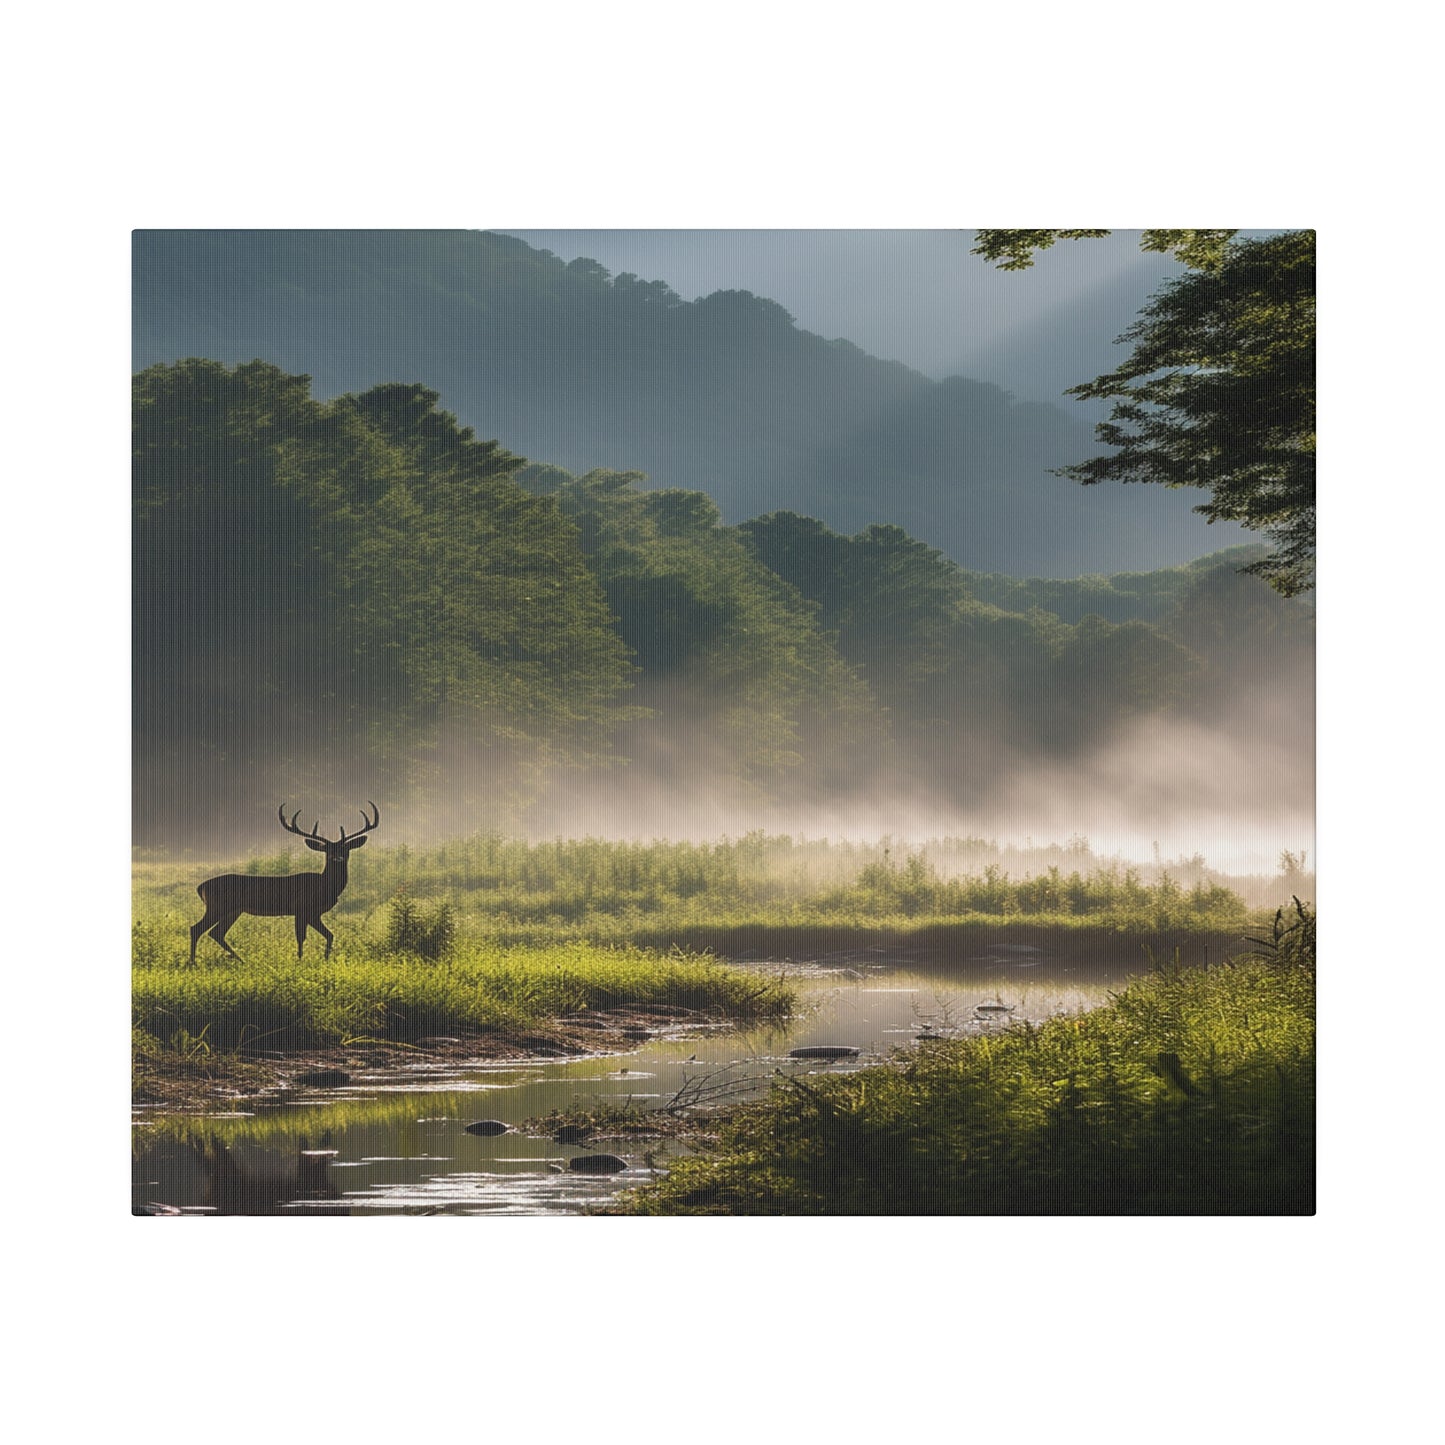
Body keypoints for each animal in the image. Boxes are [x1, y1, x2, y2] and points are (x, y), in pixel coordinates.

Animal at [189, 803, 381, 959]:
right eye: (327, 850)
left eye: (345, 849)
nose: (337, 858)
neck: (324, 887)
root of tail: (201, 886)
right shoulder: (301, 907)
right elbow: (301, 937)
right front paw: (300, 961)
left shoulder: (314, 913)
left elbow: (330, 935)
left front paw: (325, 959)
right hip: (217, 906)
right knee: (196, 928)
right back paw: (193, 963)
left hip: (233, 910)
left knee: (216, 933)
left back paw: (240, 960)